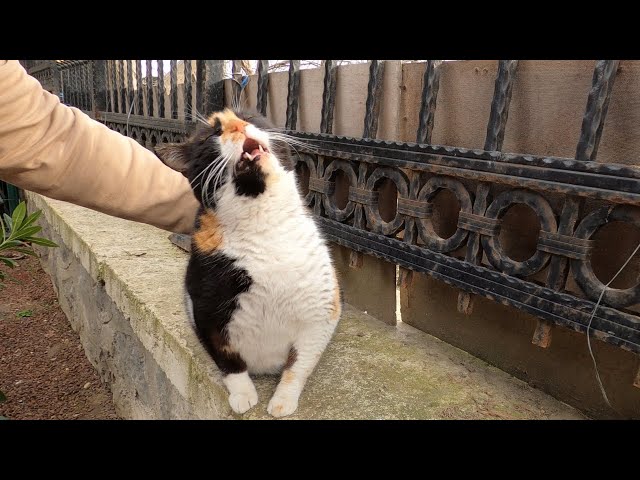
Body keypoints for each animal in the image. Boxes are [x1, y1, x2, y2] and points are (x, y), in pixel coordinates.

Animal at [156, 108, 342, 416]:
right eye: (212, 134)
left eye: (250, 117)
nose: (239, 127)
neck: (262, 224)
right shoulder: (204, 315)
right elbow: (229, 363)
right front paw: (243, 395)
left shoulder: (322, 314)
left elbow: (298, 366)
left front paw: (283, 401)